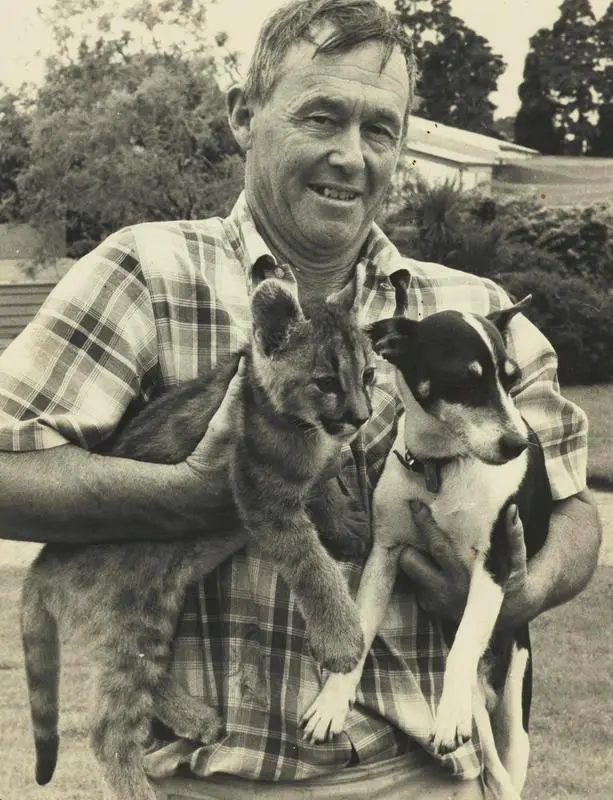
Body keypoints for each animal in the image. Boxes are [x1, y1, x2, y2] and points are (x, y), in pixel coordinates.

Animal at [300, 290, 548, 796]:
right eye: (464, 381)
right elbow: (360, 633)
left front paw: (447, 716)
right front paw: (333, 701)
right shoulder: (385, 555)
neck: (442, 466)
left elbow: (464, 644)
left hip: (516, 713)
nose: (518, 444)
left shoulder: (492, 565)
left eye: (512, 380)